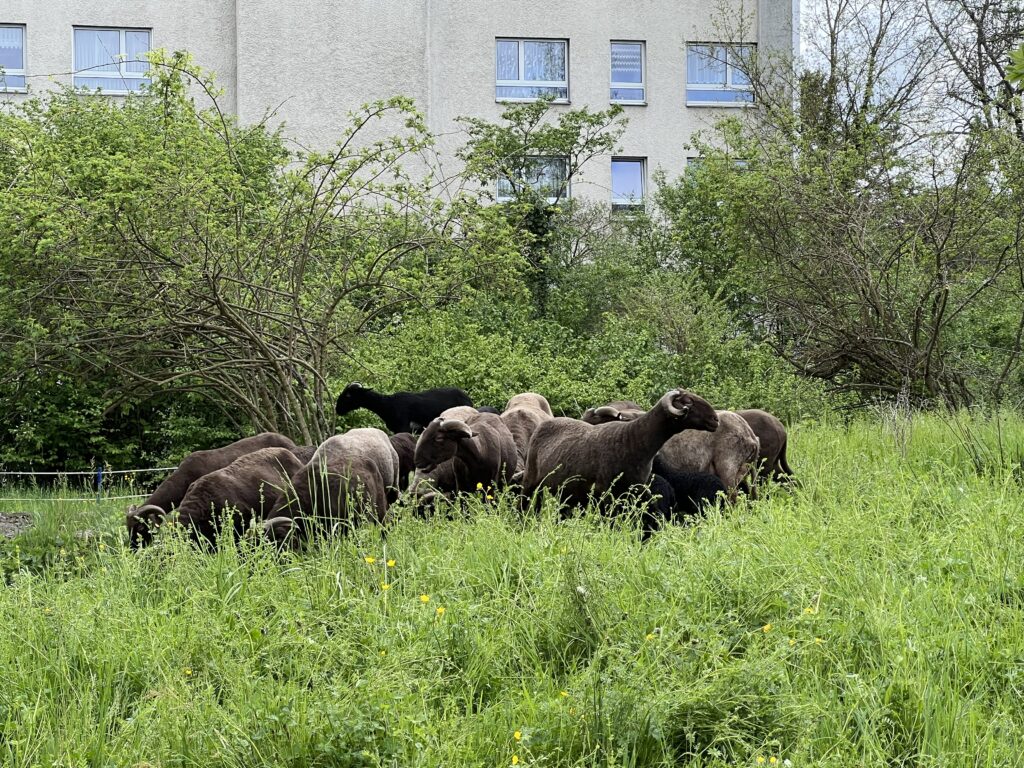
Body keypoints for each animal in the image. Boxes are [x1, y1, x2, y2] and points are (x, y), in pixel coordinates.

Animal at [524, 387, 716, 507]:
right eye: (688, 401)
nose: (715, 419)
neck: (633, 440)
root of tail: (544, 424)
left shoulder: (634, 490)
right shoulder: (606, 493)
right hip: (530, 483)